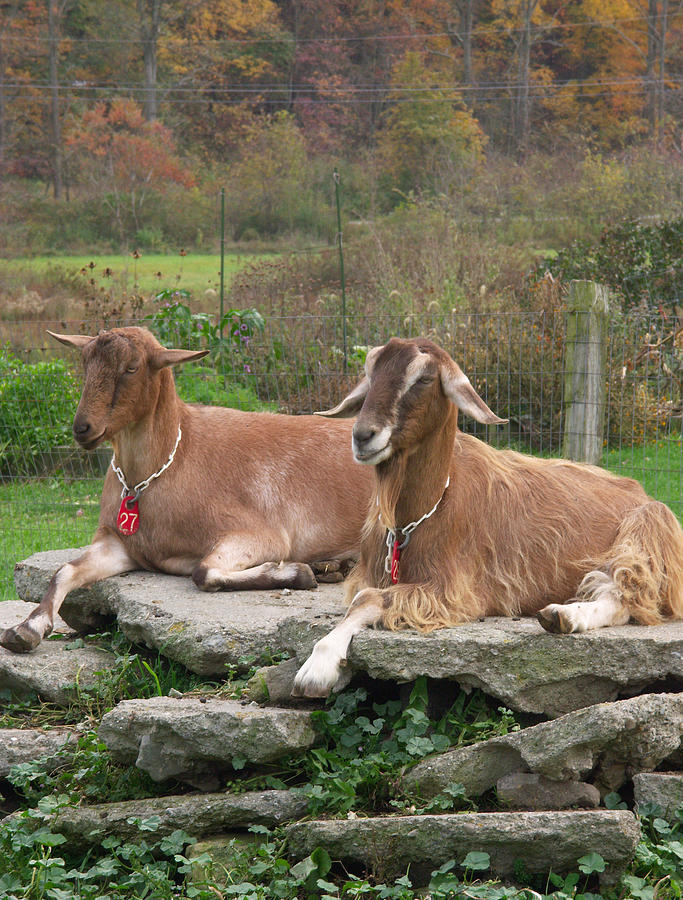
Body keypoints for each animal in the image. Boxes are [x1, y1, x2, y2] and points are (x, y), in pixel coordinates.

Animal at [1, 326, 373, 653]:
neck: (170, 463)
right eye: (85, 363)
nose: (83, 428)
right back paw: (333, 566)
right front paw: (26, 629)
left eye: (132, 367)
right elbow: (65, 570)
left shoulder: (260, 533)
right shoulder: (121, 544)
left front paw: (297, 572)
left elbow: (203, 572)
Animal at [293, 336, 683, 697]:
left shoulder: (453, 590)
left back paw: (564, 615)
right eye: (370, 373)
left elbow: (368, 599)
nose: (363, 436)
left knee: (629, 596)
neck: (417, 516)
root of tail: (639, 490)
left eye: (424, 378)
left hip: (648, 527)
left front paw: (317, 667)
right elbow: (361, 596)